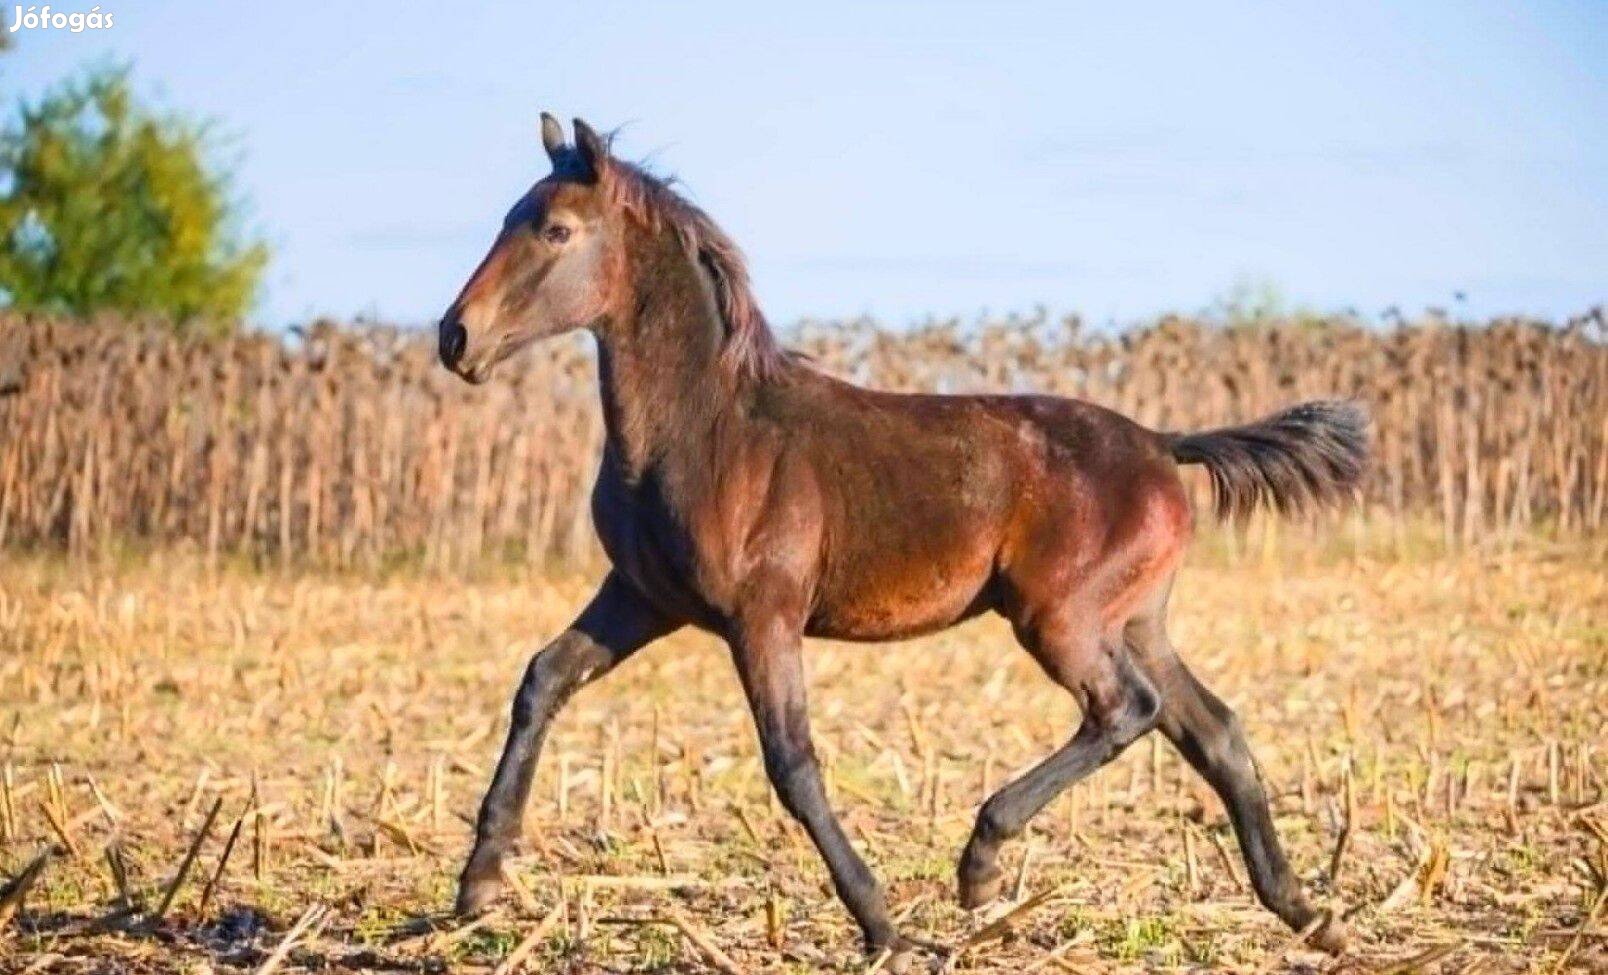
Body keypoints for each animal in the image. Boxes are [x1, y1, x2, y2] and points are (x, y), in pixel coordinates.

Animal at [434, 114, 1363, 971]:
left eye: (555, 229)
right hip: (1134, 620)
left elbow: (792, 763)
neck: (704, 429)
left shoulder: (762, 615)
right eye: (511, 215)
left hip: (1060, 617)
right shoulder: (639, 596)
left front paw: (883, 925)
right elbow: (542, 679)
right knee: (1215, 731)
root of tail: (1164, 442)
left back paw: (981, 864)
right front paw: (477, 885)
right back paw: (1308, 913)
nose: (455, 337)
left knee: (1128, 708)